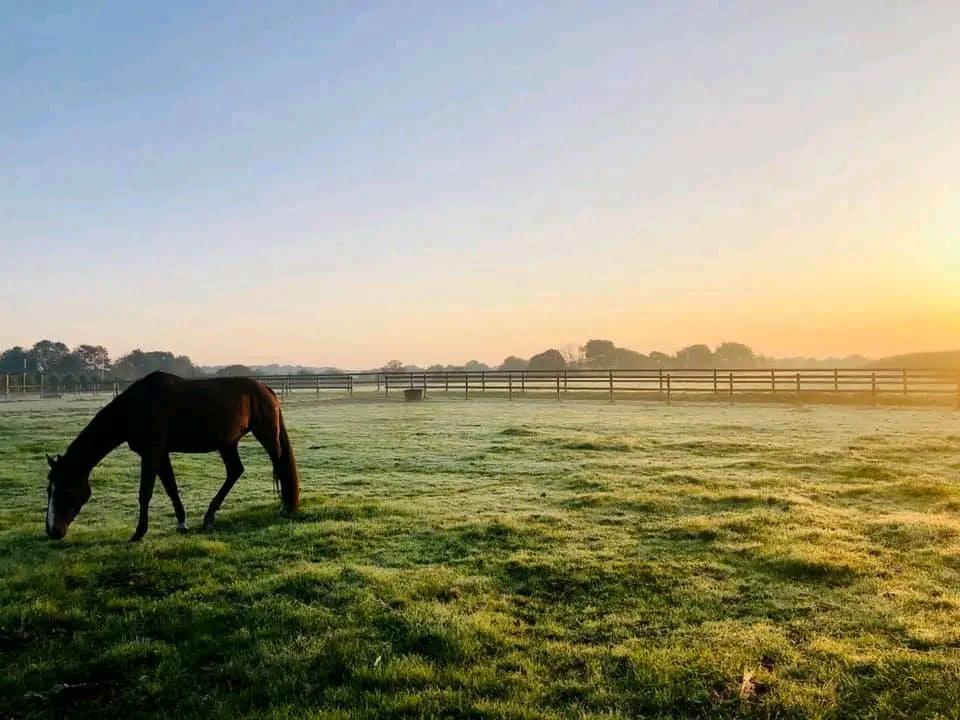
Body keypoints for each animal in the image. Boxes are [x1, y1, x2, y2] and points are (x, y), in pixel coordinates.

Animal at [44, 370, 300, 542]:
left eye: (66, 490)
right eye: (49, 490)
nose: (53, 531)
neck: (136, 407)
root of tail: (265, 388)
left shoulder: (151, 453)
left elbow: (145, 493)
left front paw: (138, 533)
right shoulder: (161, 454)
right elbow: (171, 487)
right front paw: (182, 523)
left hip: (265, 434)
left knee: (278, 466)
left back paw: (284, 507)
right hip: (228, 443)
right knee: (235, 471)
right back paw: (209, 517)